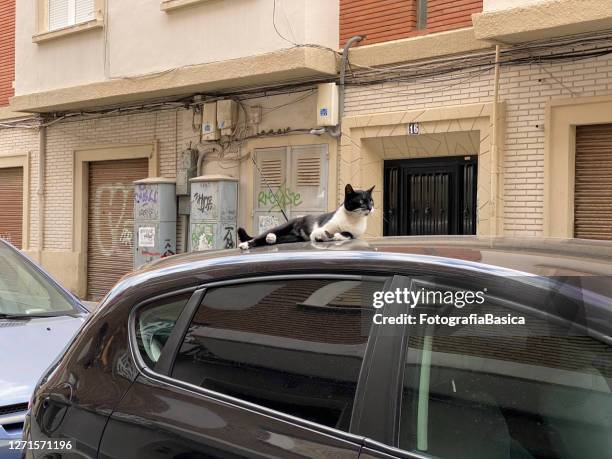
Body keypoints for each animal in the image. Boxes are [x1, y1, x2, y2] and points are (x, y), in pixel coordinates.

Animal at [238, 185, 372, 252]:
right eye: (361, 201)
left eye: (371, 201)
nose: (370, 208)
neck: (353, 218)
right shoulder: (320, 228)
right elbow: (321, 232)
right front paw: (324, 236)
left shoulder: (355, 234)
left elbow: (348, 234)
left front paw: (336, 235)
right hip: (283, 227)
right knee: (259, 238)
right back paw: (246, 244)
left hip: (293, 238)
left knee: (273, 239)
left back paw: (271, 238)